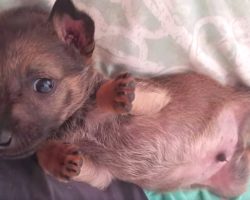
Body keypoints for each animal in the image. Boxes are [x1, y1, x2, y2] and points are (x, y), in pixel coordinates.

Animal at [1, 0, 250, 198]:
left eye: (44, 85)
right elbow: (46, 154)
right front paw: (56, 157)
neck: (77, 124)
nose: (1, 138)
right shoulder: (101, 174)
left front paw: (112, 93)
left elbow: (104, 93)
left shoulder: (154, 94)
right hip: (233, 185)